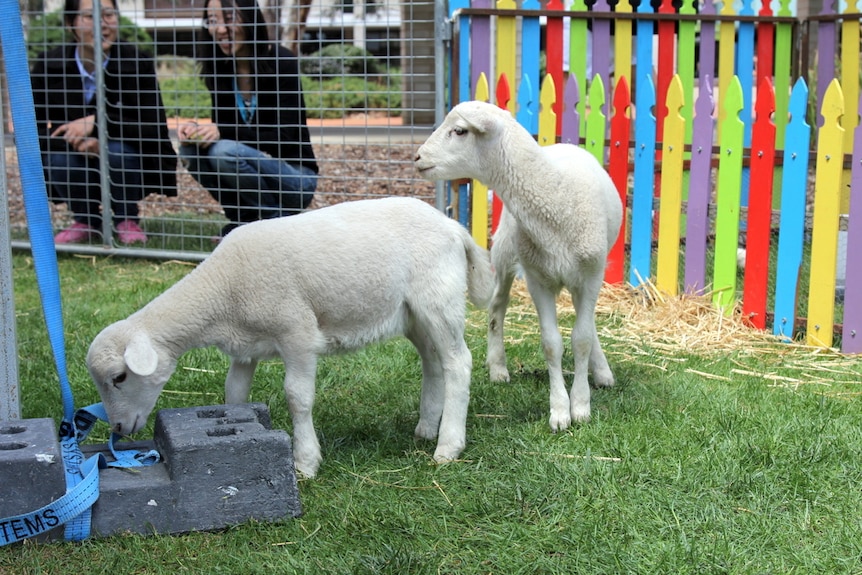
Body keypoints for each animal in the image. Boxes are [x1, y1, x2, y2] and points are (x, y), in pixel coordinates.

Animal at [88, 197, 496, 476]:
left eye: (120, 377)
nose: (118, 429)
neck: (221, 291)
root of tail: (452, 226)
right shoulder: (244, 348)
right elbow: (234, 393)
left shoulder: (296, 332)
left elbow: (298, 398)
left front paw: (305, 461)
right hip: (412, 314)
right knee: (433, 363)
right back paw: (427, 428)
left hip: (438, 298)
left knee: (458, 362)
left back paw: (448, 445)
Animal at [416, 101, 624, 430]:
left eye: (460, 131)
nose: (418, 158)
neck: (556, 196)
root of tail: (563, 144)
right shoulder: (538, 279)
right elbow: (551, 343)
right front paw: (560, 410)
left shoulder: (591, 275)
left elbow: (582, 339)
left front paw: (581, 405)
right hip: (505, 251)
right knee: (497, 307)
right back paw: (498, 366)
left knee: (587, 322)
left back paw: (601, 371)